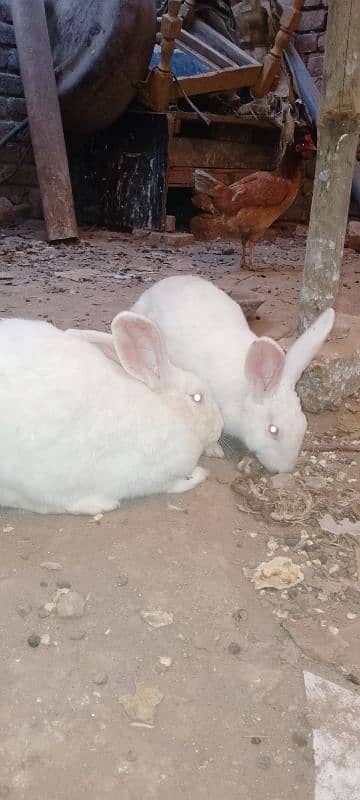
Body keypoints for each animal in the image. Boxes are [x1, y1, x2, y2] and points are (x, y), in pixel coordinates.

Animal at [0, 310, 224, 516]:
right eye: (197, 398)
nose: (220, 427)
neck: (170, 410)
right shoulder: (161, 476)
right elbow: (177, 485)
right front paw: (200, 474)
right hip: (34, 482)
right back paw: (100, 504)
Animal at [128, 276, 334, 476]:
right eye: (273, 430)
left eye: (304, 425)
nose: (284, 469)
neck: (246, 391)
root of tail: (154, 288)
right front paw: (215, 451)